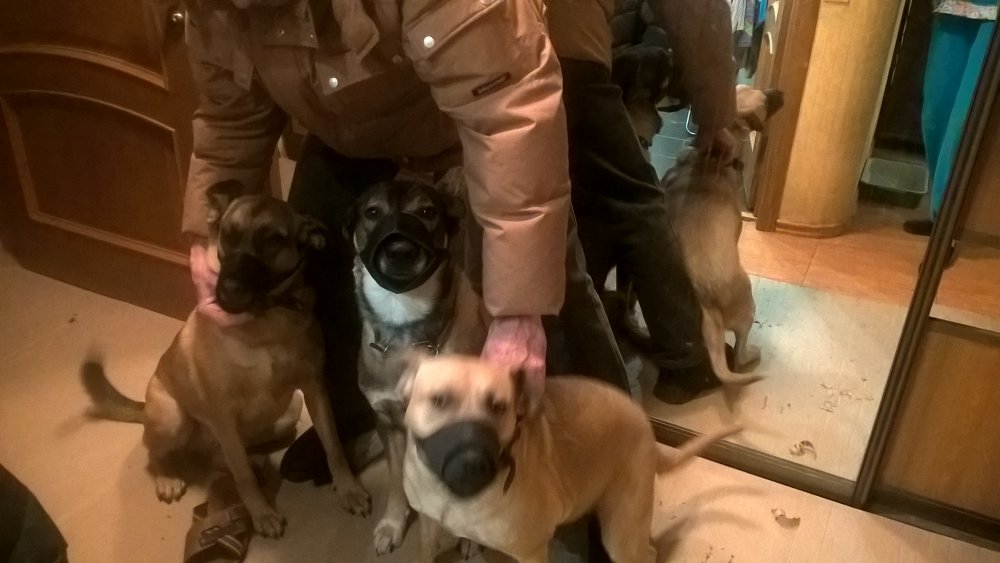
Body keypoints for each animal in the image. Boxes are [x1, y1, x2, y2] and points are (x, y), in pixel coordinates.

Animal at [81, 182, 370, 538]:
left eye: (272, 239)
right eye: (227, 235)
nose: (228, 290)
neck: (265, 321)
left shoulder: (314, 389)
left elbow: (334, 446)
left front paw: (348, 489)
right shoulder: (223, 414)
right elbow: (242, 475)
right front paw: (262, 514)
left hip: (288, 413)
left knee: (228, 457)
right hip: (173, 419)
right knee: (158, 452)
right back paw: (167, 477)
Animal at [350, 179, 489, 554]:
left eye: (427, 212)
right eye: (372, 212)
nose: (400, 251)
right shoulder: (388, 423)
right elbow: (397, 481)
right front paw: (392, 524)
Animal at [398, 354, 739, 563]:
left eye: (498, 406)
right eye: (440, 400)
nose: (471, 459)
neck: (454, 499)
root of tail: (647, 428)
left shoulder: (531, 552)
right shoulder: (428, 524)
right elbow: (425, 550)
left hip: (621, 534)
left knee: (648, 553)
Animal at [657, 85, 785, 385]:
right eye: (765, 99)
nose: (781, 91)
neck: (709, 156)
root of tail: (707, 306)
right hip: (748, 306)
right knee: (739, 355)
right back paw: (752, 354)